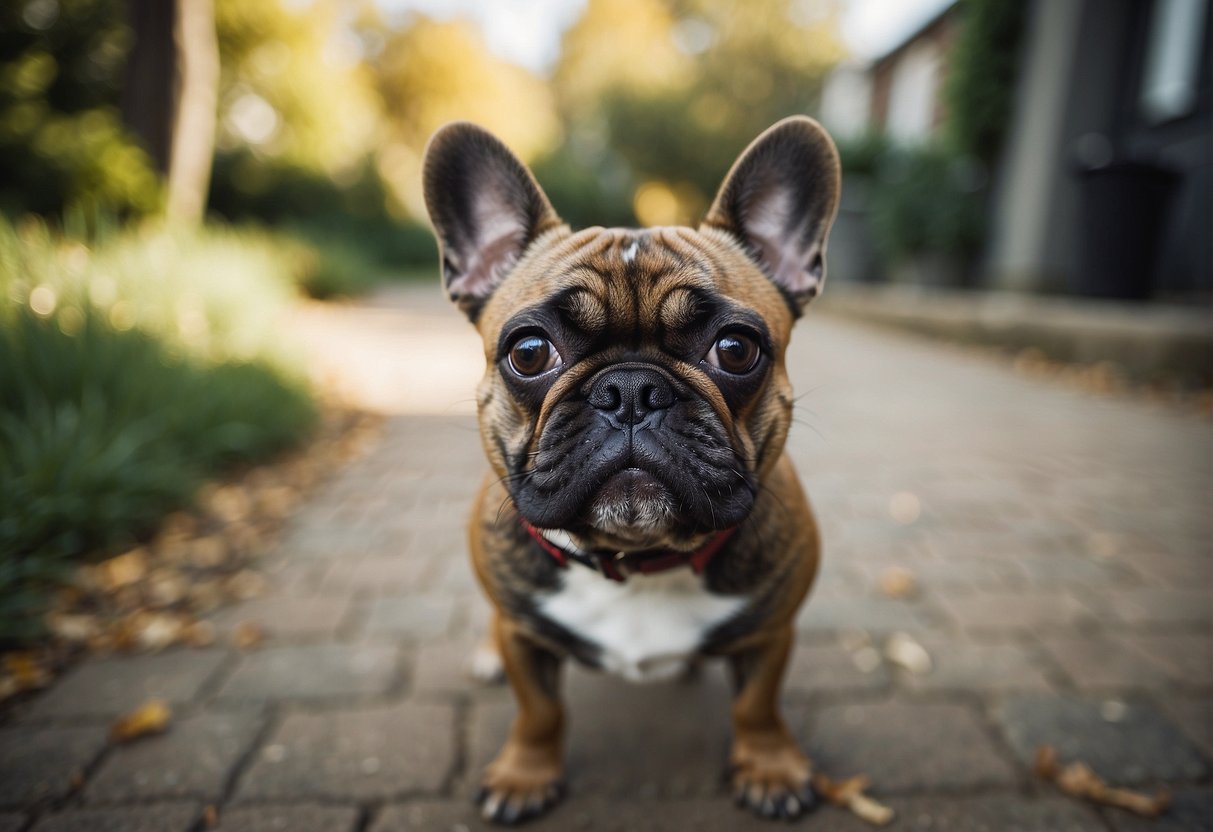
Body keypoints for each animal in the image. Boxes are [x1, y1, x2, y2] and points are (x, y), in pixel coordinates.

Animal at [422, 117, 839, 829]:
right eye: (528, 353)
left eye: (737, 349)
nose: (632, 391)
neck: (639, 564)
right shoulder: (525, 634)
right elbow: (540, 711)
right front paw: (525, 775)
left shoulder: (770, 630)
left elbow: (756, 705)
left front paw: (771, 768)